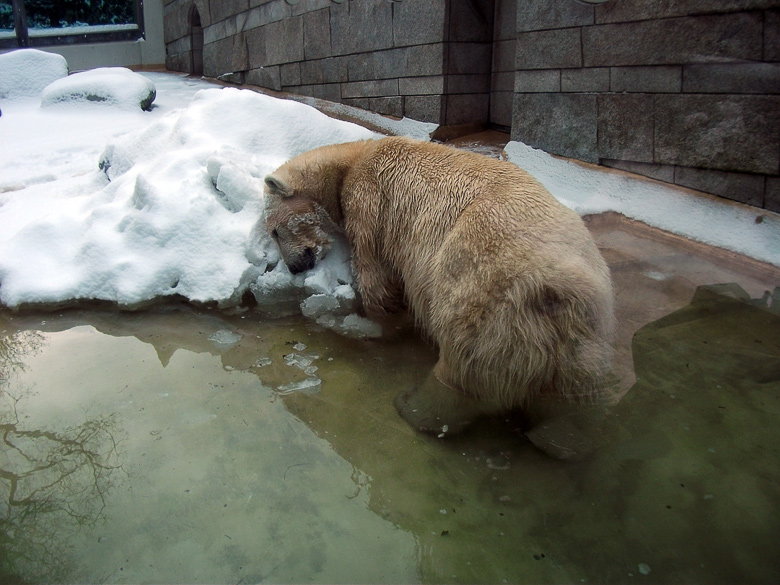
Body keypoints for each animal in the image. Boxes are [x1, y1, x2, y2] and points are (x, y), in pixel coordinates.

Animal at [262, 137, 616, 436]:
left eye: (274, 230)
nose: (295, 266)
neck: (352, 160)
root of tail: (561, 289)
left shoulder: (369, 201)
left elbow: (377, 275)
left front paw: (365, 322)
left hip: (485, 286)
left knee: (463, 362)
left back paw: (414, 407)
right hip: (580, 341)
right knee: (567, 403)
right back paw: (558, 440)